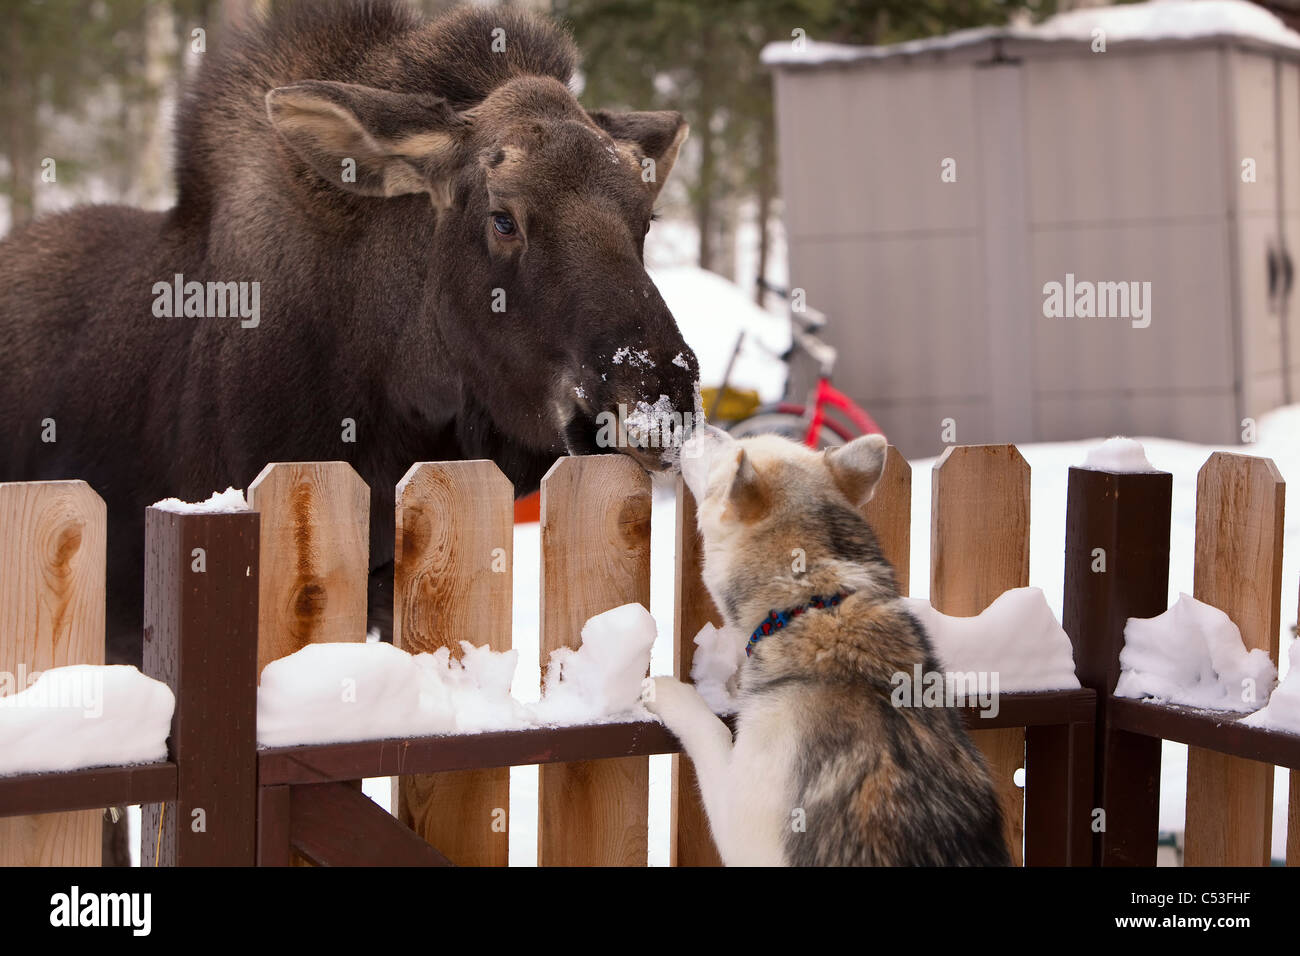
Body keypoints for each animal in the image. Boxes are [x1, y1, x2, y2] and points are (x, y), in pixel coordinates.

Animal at [650, 429, 1013, 868]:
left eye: (734, 447)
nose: (696, 427)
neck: (817, 605)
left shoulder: (742, 824)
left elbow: (709, 730)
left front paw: (668, 692)